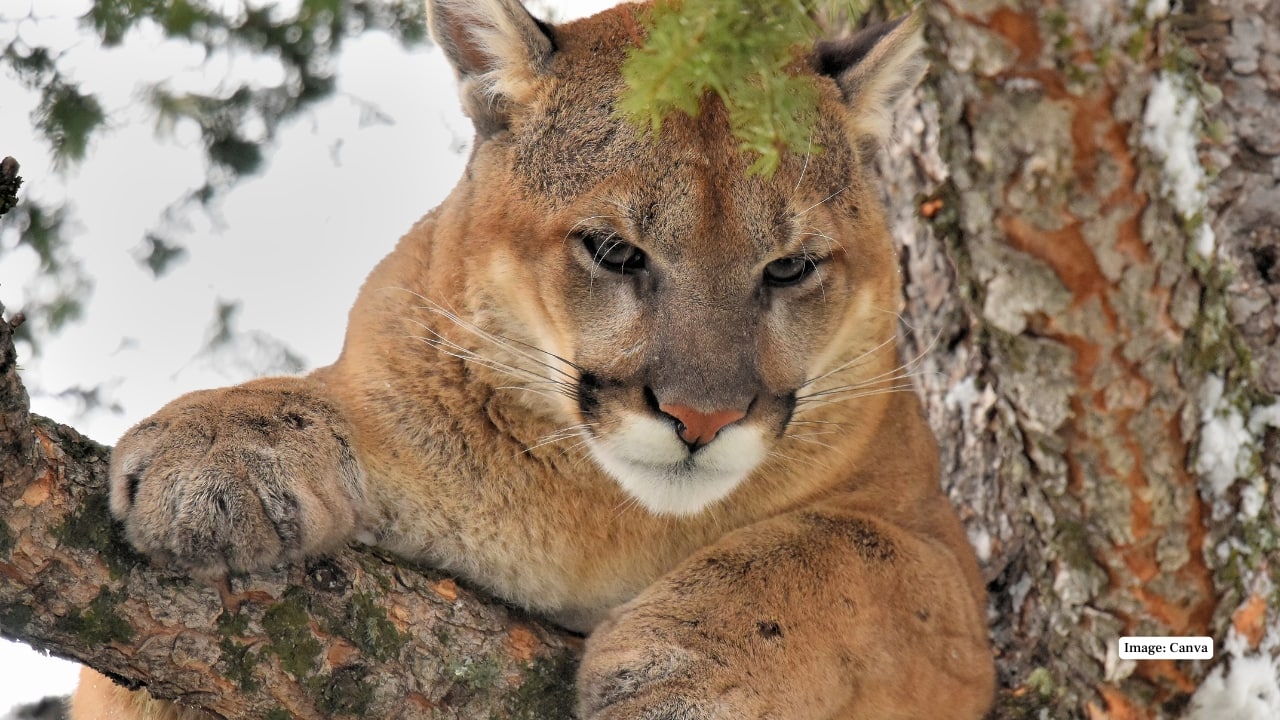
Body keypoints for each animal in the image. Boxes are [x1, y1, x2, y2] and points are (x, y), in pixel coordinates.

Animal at [71, 1, 995, 717]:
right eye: (615, 252)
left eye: (790, 267)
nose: (702, 418)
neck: (612, 523)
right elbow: (313, 401)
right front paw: (220, 449)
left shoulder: (945, 562)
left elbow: (842, 553)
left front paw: (683, 671)